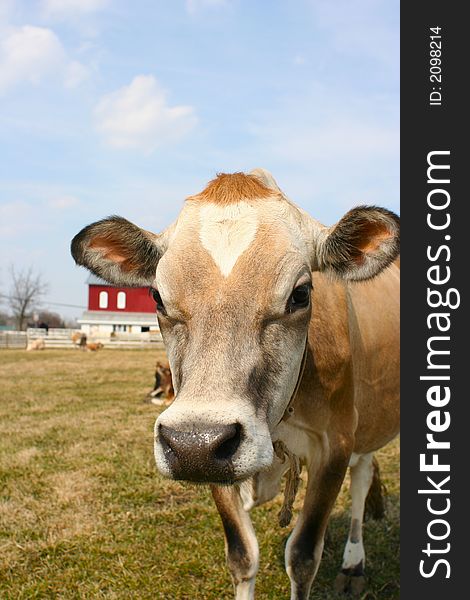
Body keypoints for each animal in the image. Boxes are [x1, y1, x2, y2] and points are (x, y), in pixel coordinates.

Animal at [70, 170, 400, 600]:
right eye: (157, 296)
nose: (194, 443)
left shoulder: (336, 441)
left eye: (301, 293)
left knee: (361, 480)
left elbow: (303, 557)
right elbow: (242, 555)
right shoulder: (212, 459)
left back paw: (353, 564)